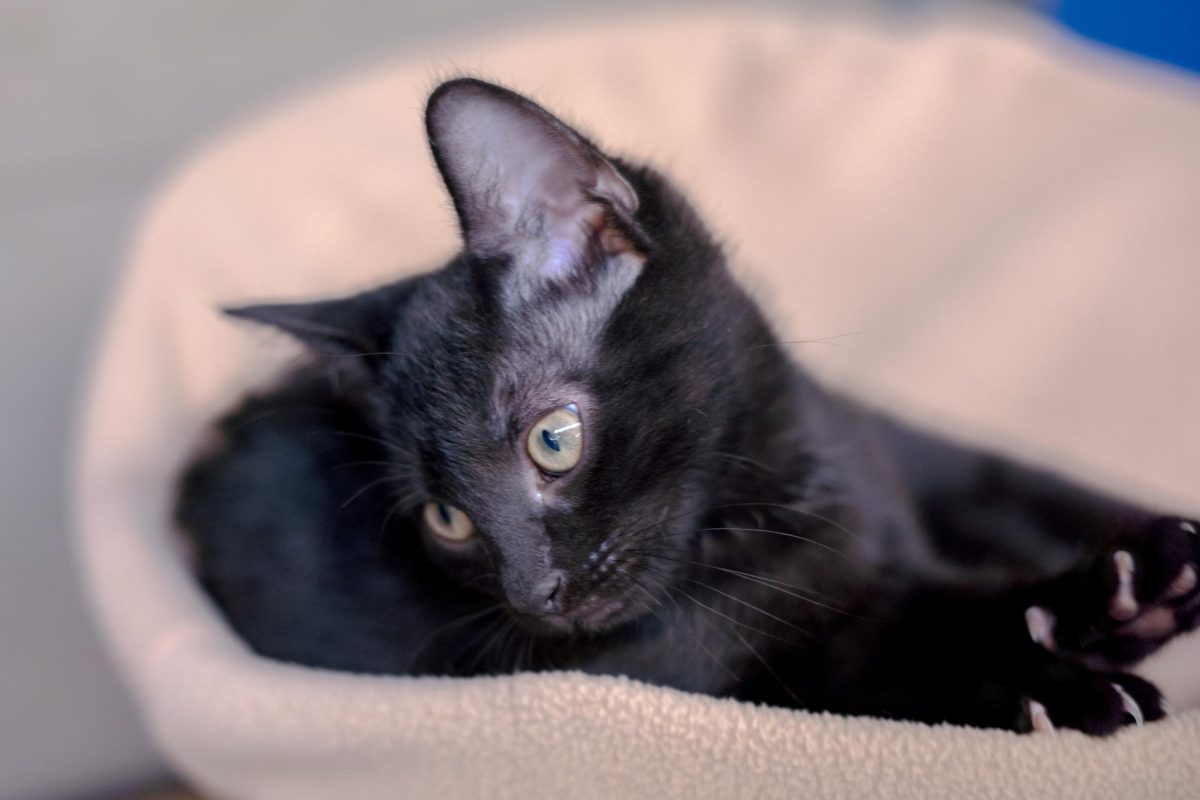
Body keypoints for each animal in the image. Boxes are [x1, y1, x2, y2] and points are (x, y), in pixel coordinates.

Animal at [174, 77, 1195, 734]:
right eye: (446, 518)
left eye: (553, 440)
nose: (534, 596)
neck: (787, 489)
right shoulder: (758, 679)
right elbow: (906, 651)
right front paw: (1068, 671)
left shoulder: (919, 464)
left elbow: (1029, 491)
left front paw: (1140, 581)